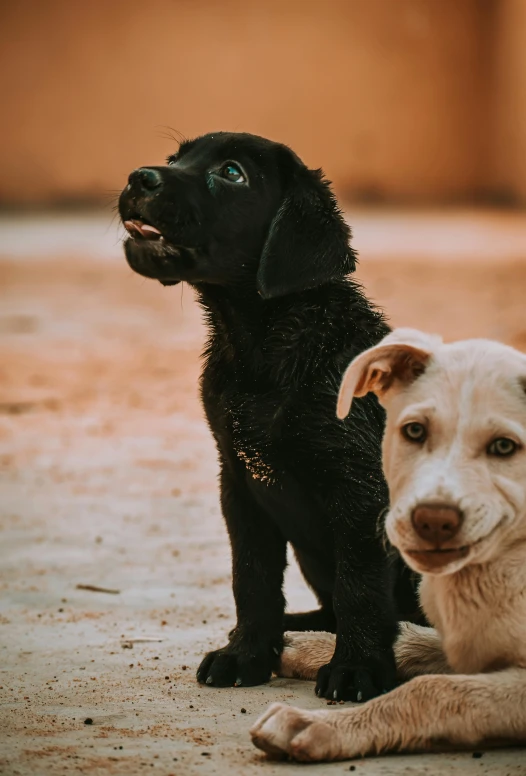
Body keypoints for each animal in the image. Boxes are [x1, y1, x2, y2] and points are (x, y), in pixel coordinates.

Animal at [119, 133, 420, 704]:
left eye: (232, 173)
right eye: (175, 159)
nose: (137, 177)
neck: (265, 348)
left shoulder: (360, 491)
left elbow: (361, 588)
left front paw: (357, 668)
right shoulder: (240, 483)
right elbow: (252, 579)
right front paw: (246, 653)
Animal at [251, 330, 526, 760]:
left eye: (504, 447)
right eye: (414, 431)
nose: (432, 520)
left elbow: (434, 690)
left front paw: (316, 724)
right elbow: (415, 640)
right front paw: (315, 648)